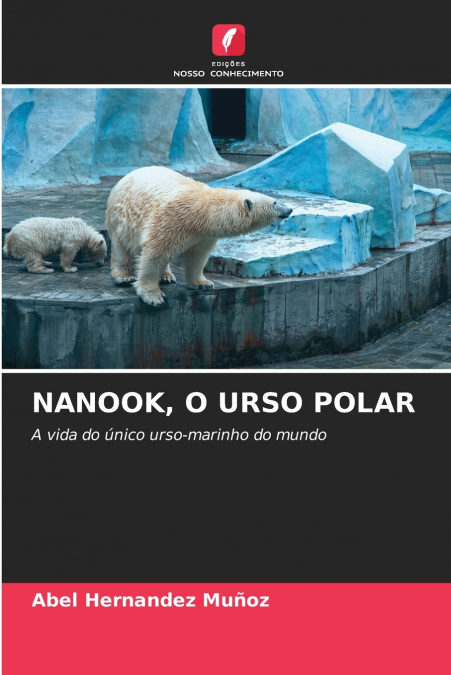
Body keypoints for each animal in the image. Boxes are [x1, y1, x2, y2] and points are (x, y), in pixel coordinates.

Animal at [105, 166, 292, 306]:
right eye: (275, 202)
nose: (290, 209)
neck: (202, 211)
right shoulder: (171, 219)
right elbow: (155, 252)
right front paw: (152, 296)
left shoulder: (203, 234)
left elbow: (197, 256)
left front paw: (203, 284)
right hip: (121, 216)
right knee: (121, 246)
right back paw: (124, 276)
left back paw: (166, 276)